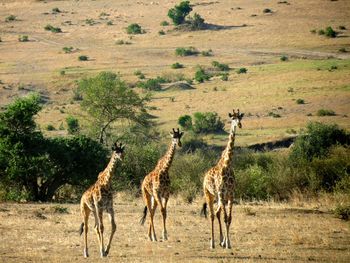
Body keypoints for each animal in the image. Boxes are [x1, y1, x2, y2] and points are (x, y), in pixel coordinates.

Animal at [201, 109, 245, 250]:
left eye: (240, 117)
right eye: (232, 118)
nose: (239, 125)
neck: (227, 164)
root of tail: (204, 177)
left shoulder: (231, 193)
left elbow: (229, 218)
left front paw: (227, 243)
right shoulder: (221, 192)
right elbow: (225, 217)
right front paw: (226, 243)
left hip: (219, 197)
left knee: (217, 212)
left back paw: (220, 241)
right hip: (209, 194)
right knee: (212, 214)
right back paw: (213, 243)